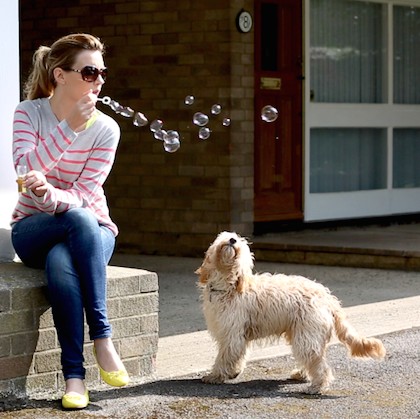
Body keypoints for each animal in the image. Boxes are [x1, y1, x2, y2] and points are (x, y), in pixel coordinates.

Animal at [195, 231, 386, 396]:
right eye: (225, 236)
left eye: (240, 242)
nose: (233, 240)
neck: (230, 285)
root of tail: (327, 297)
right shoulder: (239, 334)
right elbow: (238, 354)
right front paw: (233, 372)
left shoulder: (231, 333)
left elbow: (225, 356)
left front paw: (215, 376)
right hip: (307, 334)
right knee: (315, 358)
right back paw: (302, 375)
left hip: (306, 335)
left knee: (320, 365)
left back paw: (316, 387)